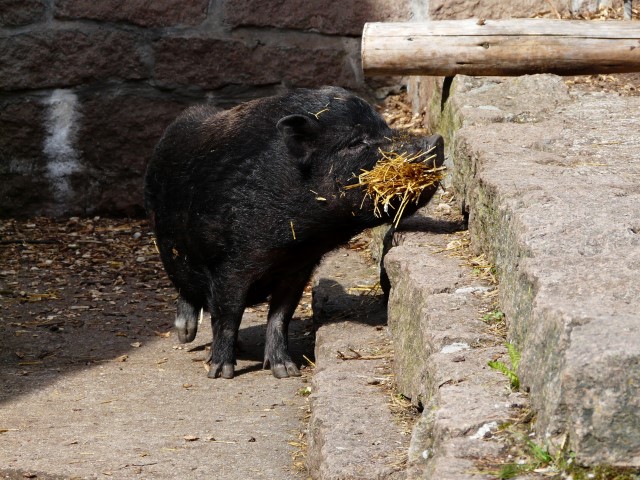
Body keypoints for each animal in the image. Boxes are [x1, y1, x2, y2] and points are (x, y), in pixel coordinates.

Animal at [145, 85, 444, 378]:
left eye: (384, 128)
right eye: (355, 142)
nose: (436, 140)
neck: (298, 242)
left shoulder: (297, 268)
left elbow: (280, 315)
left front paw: (285, 371)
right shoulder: (230, 264)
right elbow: (228, 313)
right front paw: (221, 373)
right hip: (170, 245)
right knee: (186, 287)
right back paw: (185, 336)